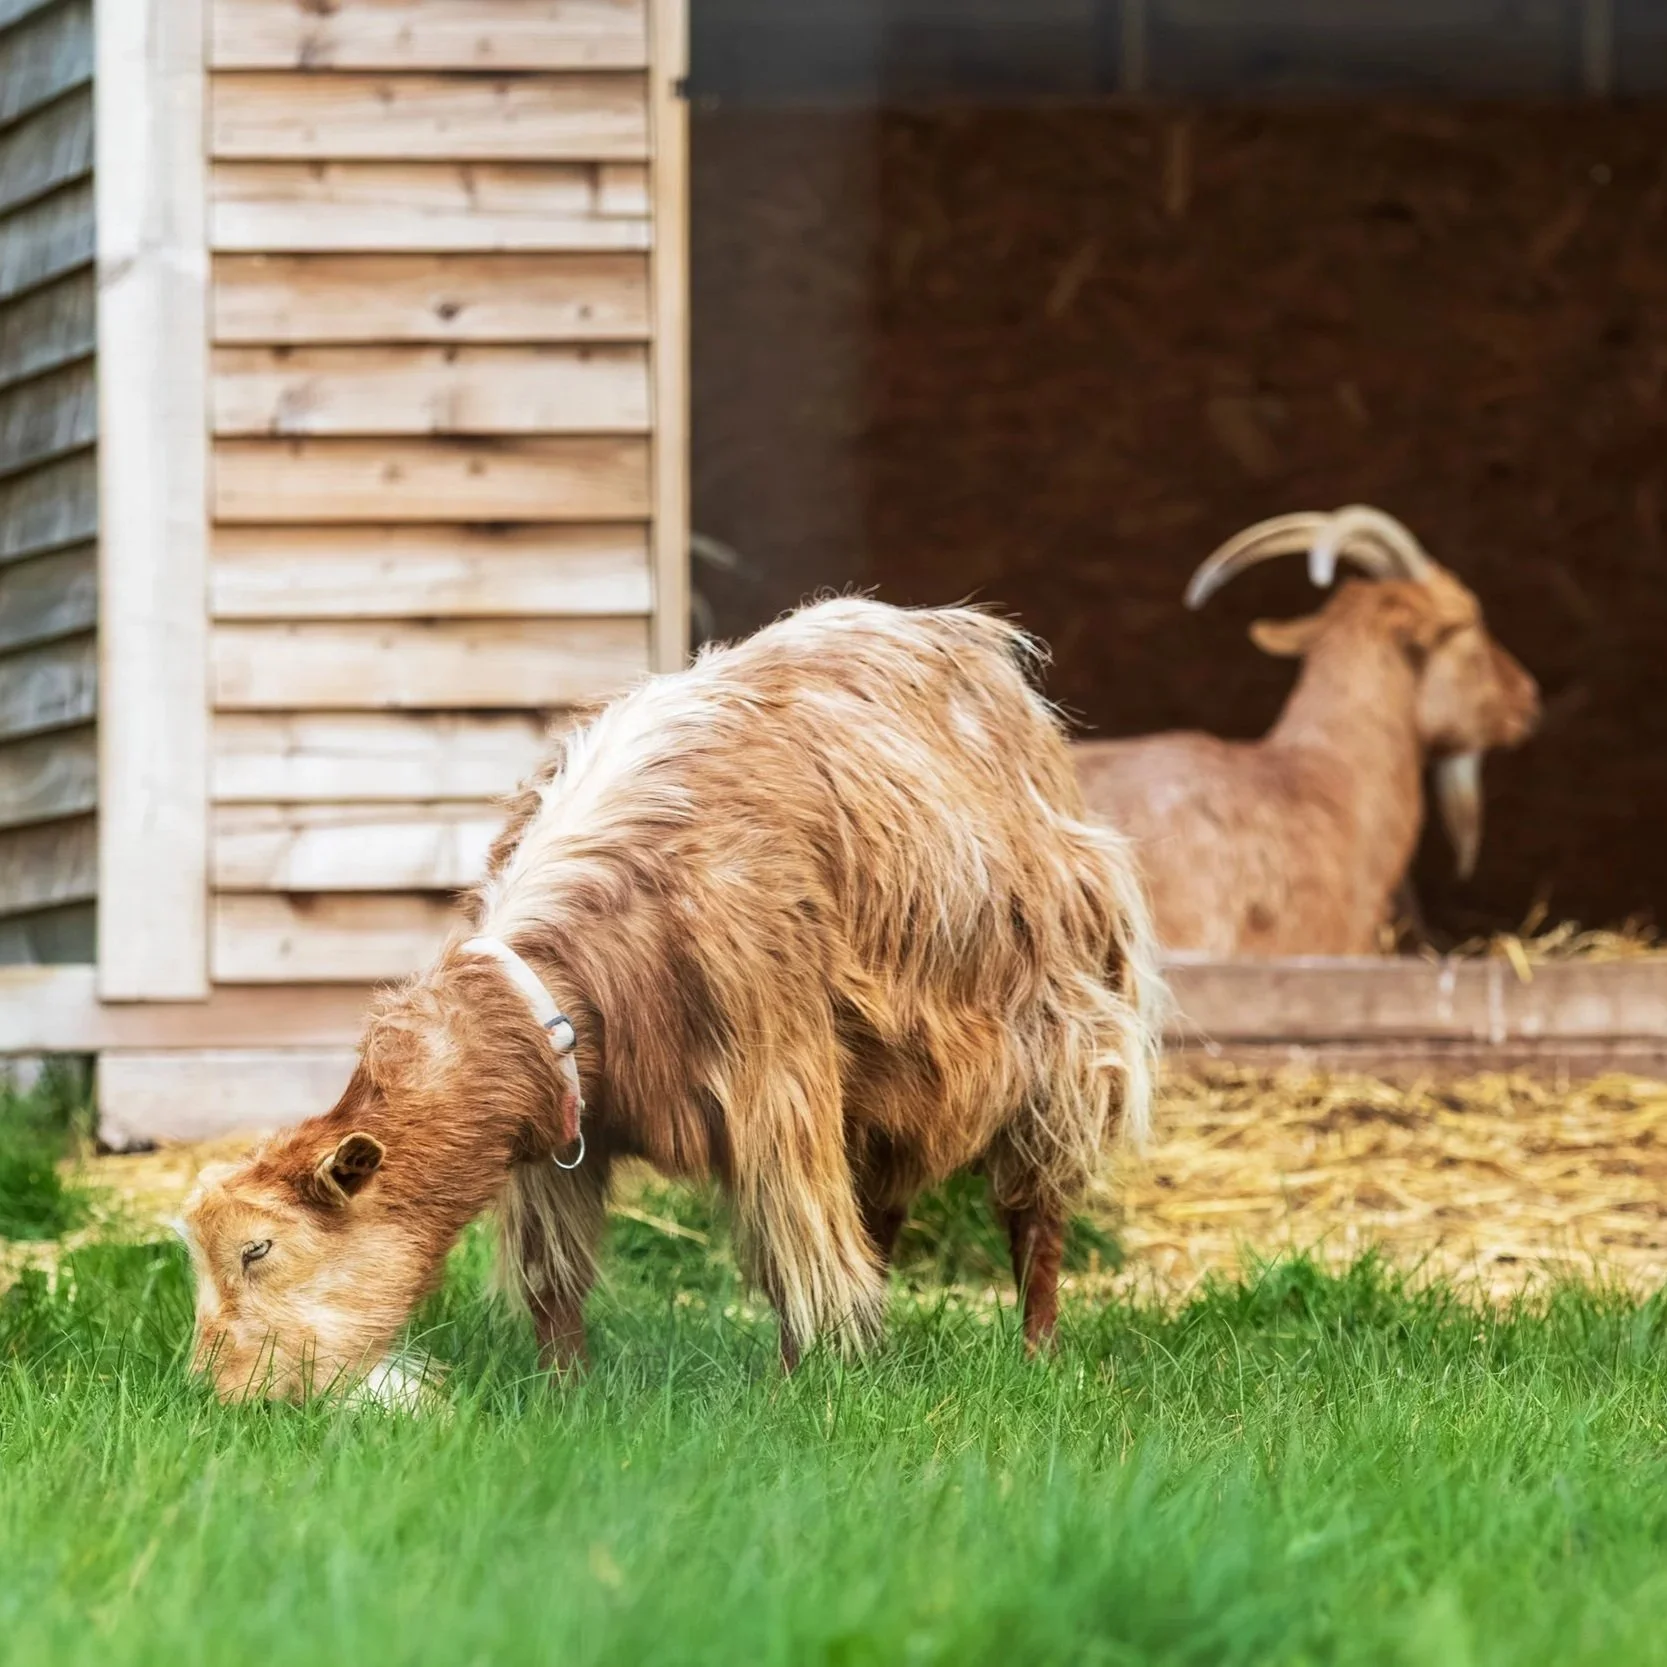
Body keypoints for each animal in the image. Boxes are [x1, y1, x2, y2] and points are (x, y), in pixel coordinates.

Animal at [181, 599, 1163, 1402]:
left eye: (258, 1248)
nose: (215, 1395)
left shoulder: (779, 1094)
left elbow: (795, 1259)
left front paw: (789, 1395)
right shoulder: (556, 1142)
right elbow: (554, 1281)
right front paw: (566, 1398)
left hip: (1060, 1048)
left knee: (1031, 1214)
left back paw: (1036, 1353)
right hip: (888, 1087)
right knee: (878, 1213)